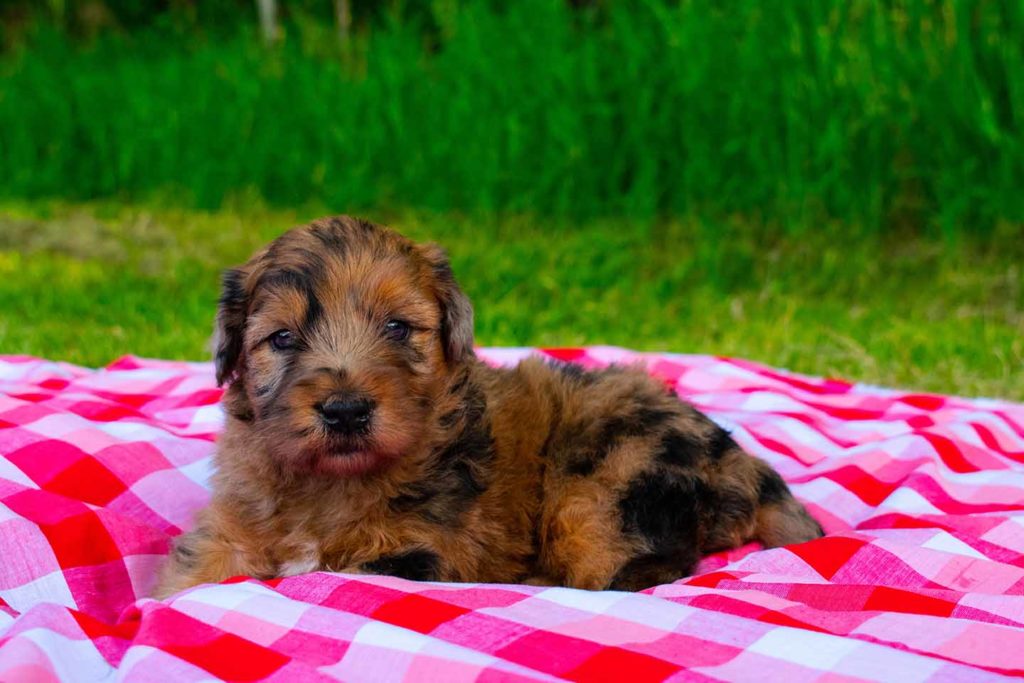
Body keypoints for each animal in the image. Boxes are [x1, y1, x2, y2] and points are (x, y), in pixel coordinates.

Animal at [153, 216, 823, 593]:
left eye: (398, 328)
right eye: (283, 339)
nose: (344, 411)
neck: (330, 488)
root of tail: (740, 462)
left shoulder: (425, 553)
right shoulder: (225, 536)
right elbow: (184, 584)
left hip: (608, 483)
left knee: (640, 570)